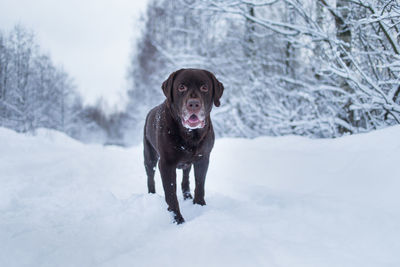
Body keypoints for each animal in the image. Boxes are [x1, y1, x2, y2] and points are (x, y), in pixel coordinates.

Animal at [144, 69, 225, 224]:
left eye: (204, 87)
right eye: (181, 87)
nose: (193, 104)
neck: (190, 134)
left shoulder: (203, 159)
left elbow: (200, 185)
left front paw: (199, 206)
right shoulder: (166, 163)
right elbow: (170, 194)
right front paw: (178, 220)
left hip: (187, 163)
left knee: (185, 179)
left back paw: (187, 197)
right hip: (149, 156)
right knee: (150, 177)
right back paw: (151, 196)